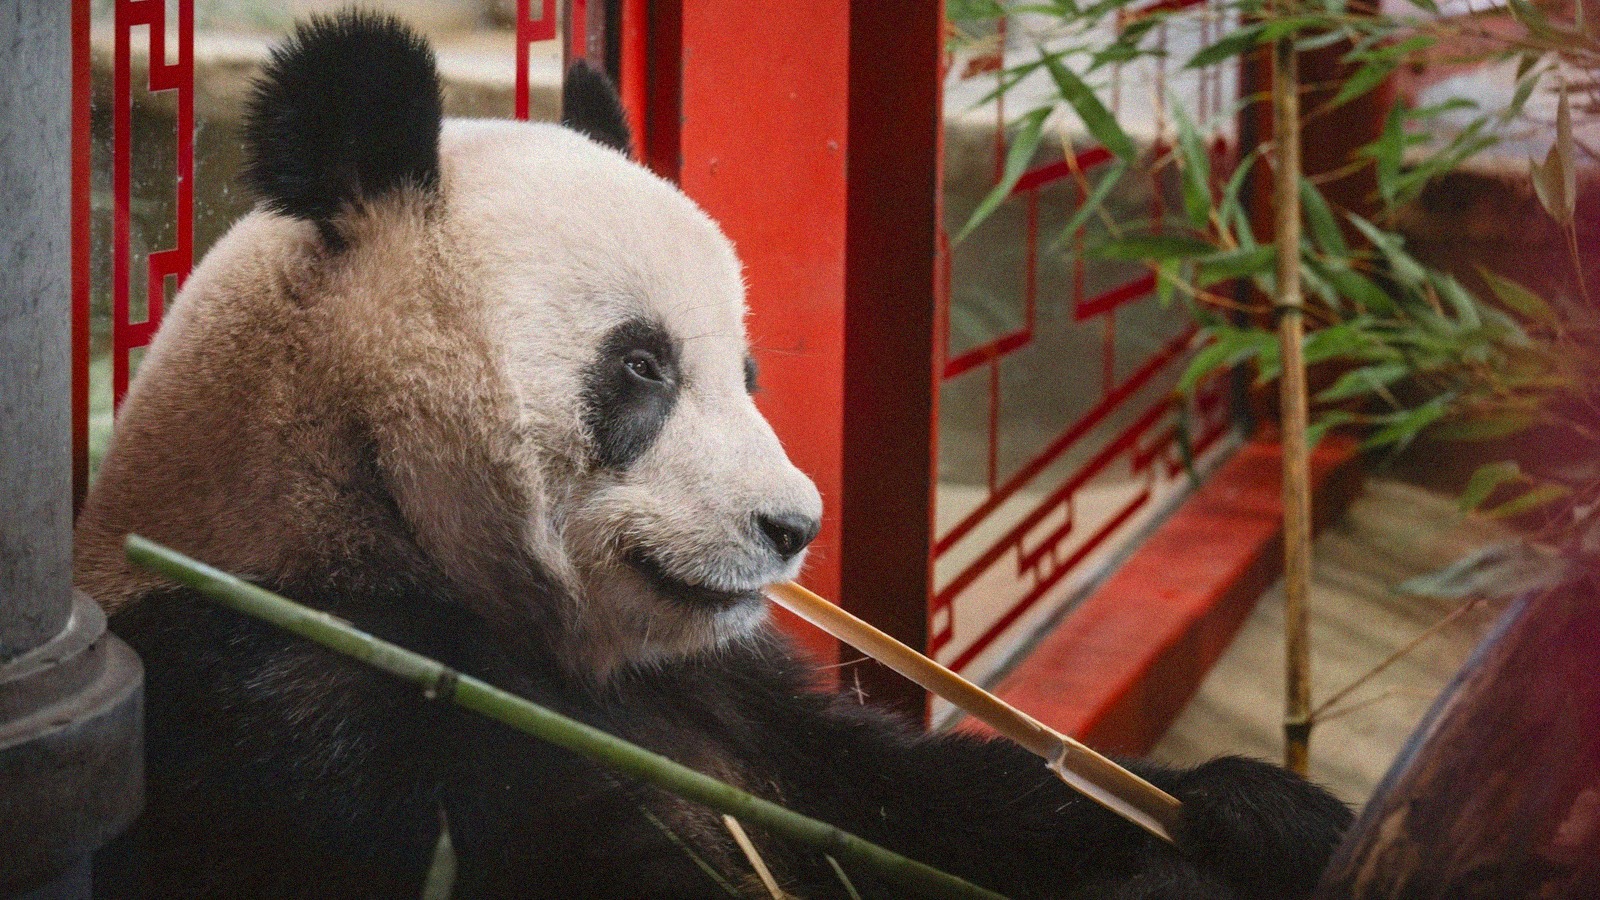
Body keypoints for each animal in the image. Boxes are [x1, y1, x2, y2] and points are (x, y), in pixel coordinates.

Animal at [77, 11, 1350, 899]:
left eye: (745, 370)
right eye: (642, 367)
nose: (793, 528)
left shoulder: (728, 685)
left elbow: (918, 797)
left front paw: (1254, 815)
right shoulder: (300, 695)